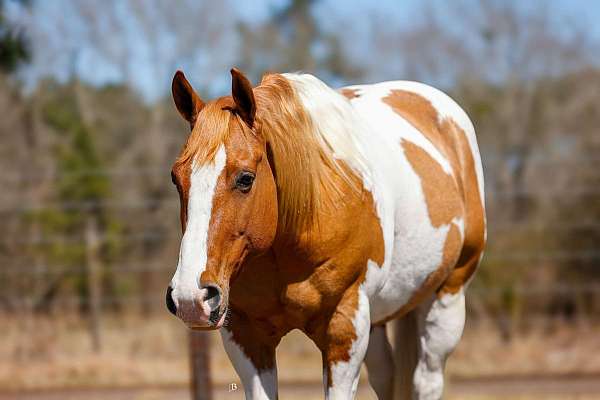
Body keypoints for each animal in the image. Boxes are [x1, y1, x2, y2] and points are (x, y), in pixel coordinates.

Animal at [166, 69, 486, 400]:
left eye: (245, 178)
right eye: (176, 178)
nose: (191, 297)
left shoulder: (344, 328)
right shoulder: (246, 334)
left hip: (446, 300)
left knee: (427, 379)